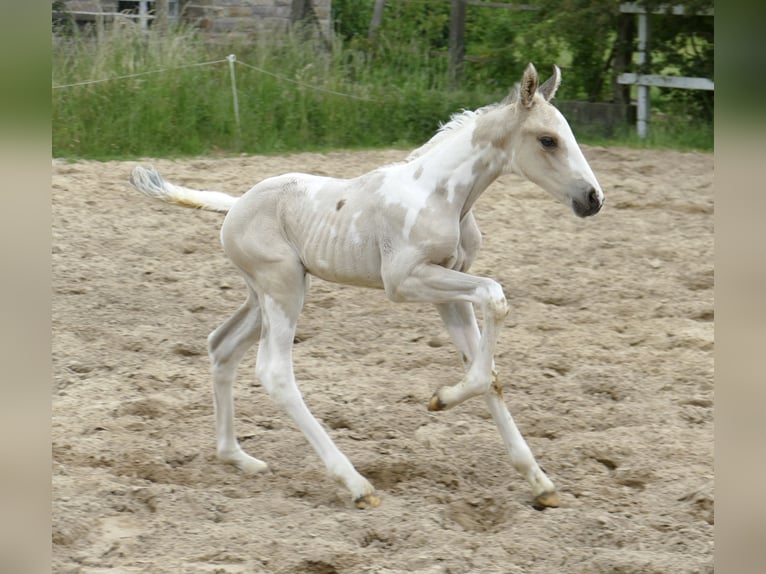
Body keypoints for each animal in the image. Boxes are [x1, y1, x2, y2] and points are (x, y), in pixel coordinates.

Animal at [129, 63, 604, 510]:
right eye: (547, 140)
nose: (593, 199)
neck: (442, 194)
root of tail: (234, 206)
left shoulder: (449, 292)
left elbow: (488, 372)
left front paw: (540, 483)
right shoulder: (404, 281)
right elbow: (495, 296)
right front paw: (441, 399)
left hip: (261, 295)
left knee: (221, 346)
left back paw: (237, 457)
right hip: (283, 289)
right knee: (274, 372)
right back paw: (356, 485)